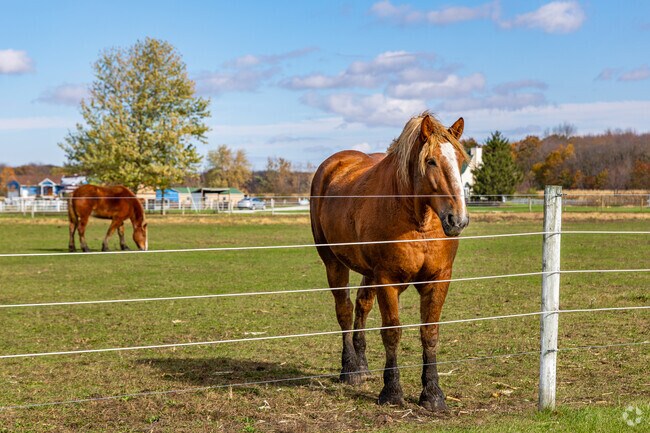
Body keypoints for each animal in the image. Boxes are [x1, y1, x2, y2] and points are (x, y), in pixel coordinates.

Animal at [310, 112, 469, 411]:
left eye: (461, 161)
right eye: (430, 161)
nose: (457, 220)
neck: (417, 221)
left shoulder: (439, 279)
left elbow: (429, 333)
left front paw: (433, 394)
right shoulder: (387, 280)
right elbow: (392, 332)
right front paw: (392, 391)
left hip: (368, 273)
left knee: (362, 306)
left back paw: (362, 366)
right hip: (334, 263)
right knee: (345, 310)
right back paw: (349, 370)